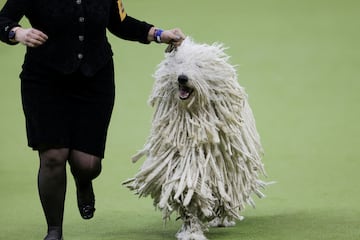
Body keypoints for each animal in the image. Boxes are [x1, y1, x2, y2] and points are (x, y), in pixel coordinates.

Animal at [124, 37, 268, 240]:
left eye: (199, 66)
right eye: (179, 63)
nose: (182, 78)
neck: (194, 120)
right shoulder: (182, 161)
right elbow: (186, 189)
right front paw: (191, 229)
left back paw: (222, 218)